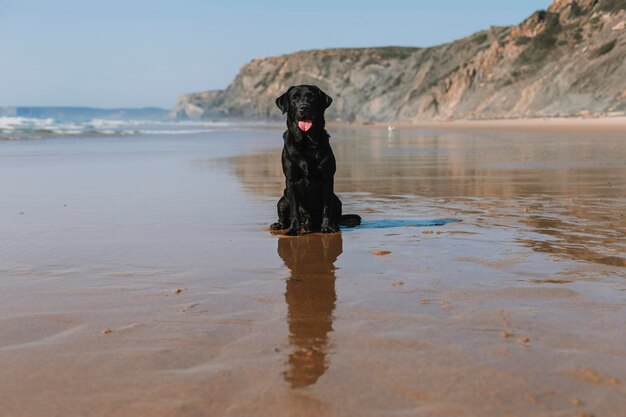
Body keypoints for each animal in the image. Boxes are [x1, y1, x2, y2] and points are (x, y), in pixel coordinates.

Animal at [270, 85, 360, 236]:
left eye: (311, 97)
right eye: (294, 98)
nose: (303, 107)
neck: (306, 142)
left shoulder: (327, 178)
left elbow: (326, 207)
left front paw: (327, 227)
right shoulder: (291, 180)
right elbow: (294, 209)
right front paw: (293, 229)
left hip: (337, 200)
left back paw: (334, 226)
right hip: (282, 200)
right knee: (284, 215)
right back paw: (279, 225)